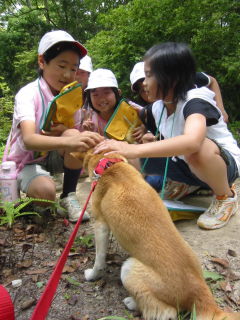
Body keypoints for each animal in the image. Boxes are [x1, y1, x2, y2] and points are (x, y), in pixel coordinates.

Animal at [73, 151, 240, 320]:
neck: (110, 165)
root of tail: (201, 293)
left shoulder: (100, 224)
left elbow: (99, 260)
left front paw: (92, 275)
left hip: (129, 268)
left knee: (166, 311)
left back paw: (132, 302)